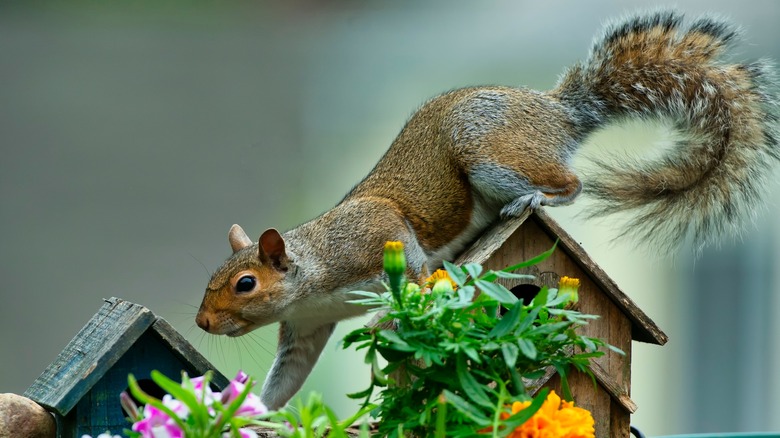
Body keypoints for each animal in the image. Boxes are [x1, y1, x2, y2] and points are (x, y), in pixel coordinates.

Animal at [193, 12, 772, 410]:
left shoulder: (375, 233)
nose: (202, 321)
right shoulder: (307, 327)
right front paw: (248, 409)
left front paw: (401, 306)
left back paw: (536, 198)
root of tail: (557, 114)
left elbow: (413, 265)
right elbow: (288, 378)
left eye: (245, 283)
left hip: (490, 155)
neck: (313, 270)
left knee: (573, 183)